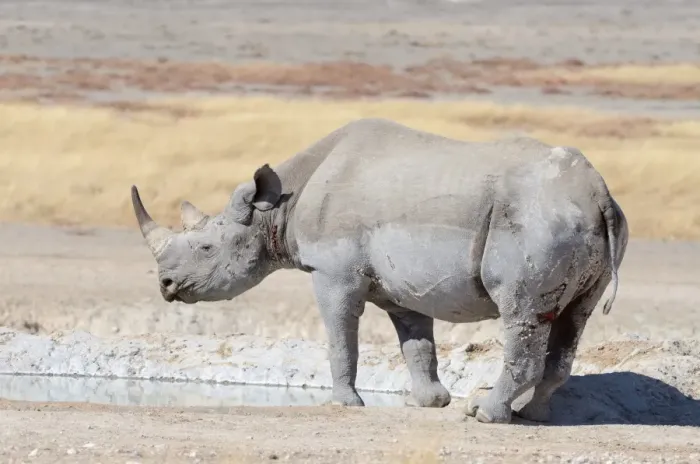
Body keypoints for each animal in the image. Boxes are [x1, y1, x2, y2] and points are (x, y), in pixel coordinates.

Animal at [130, 118, 628, 424]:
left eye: (206, 248)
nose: (166, 285)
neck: (277, 207)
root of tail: (597, 193)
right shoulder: (403, 284)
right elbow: (417, 343)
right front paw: (430, 402)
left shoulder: (333, 273)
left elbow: (340, 338)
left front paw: (346, 404)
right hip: (574, 225)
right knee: (573, 318)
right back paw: (531, 415)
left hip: (536, 221)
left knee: (521, 312)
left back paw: (486, 415)